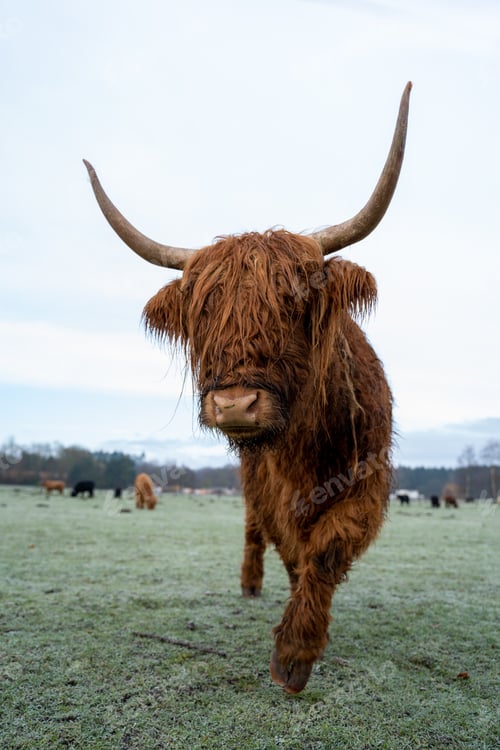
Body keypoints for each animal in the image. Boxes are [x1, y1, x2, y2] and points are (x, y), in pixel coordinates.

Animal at [83, 82, 412, 693]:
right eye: (203, 314)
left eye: (293, 304)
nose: (234, 404)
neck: (304, 446)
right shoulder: (270, 488)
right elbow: (290, 546)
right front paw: (294, 642)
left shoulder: (368, 477)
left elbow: (326, 548)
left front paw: (295, 654)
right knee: (255, 532)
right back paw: (251, 583)